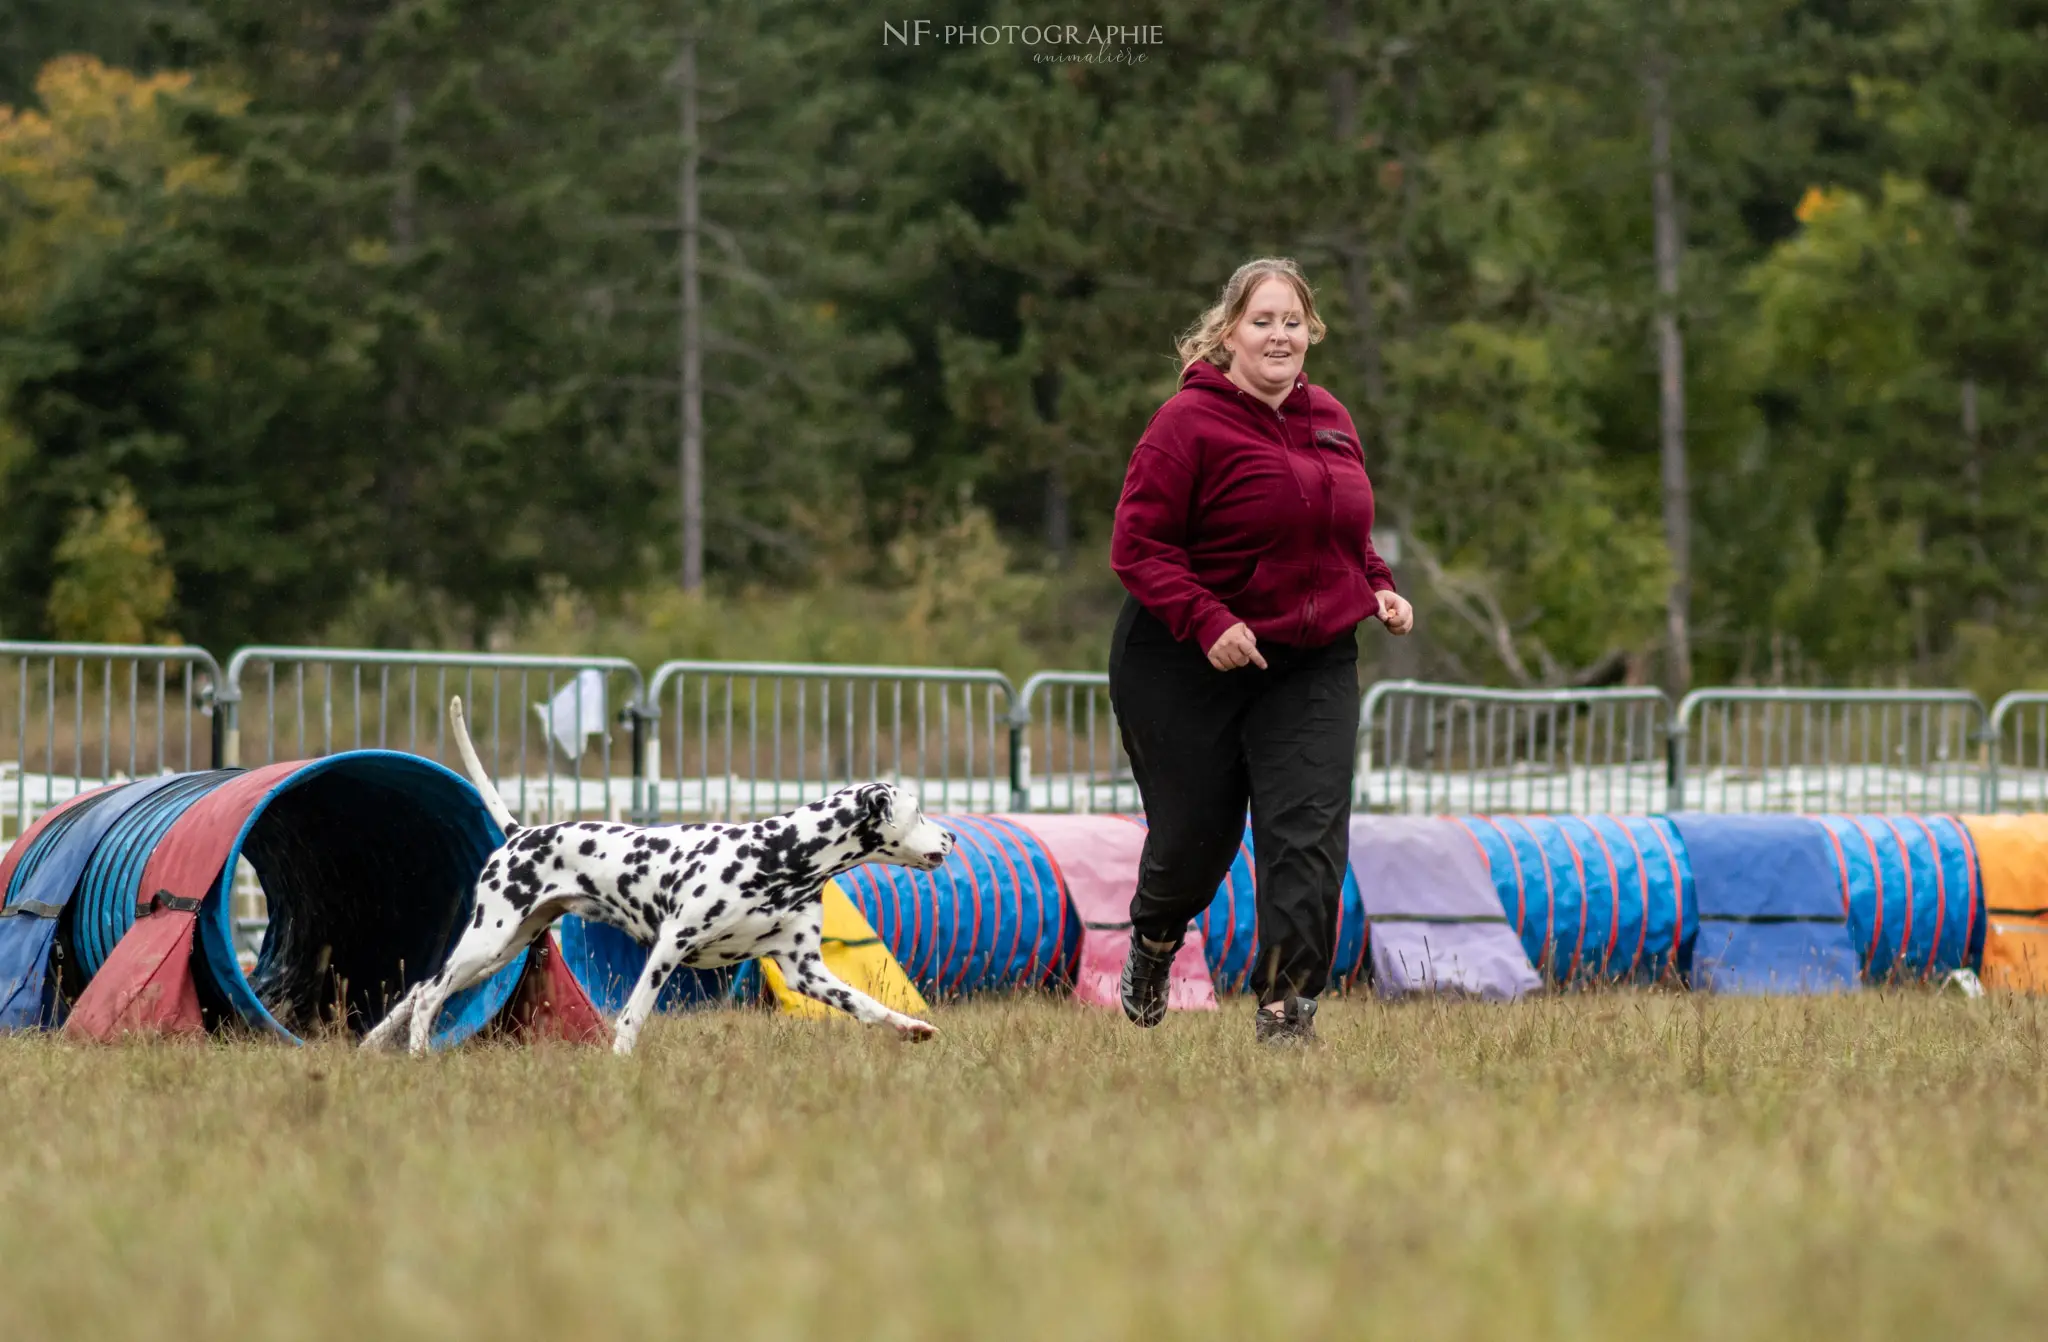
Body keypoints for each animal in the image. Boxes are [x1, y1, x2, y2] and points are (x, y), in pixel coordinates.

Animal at [362, 696, 950, 1057]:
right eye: (919, 813)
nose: (950, 839)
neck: (781, 856)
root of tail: (518, 832)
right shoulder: (671, 945)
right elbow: (633, 1016)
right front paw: (620, 1062)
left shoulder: (806, 970)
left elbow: (868, 1007)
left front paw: (911, 1028)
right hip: (488, 941)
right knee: (429, 994)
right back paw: (417, 1053)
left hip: (499, 953)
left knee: (418, 990)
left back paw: (374, 1046)